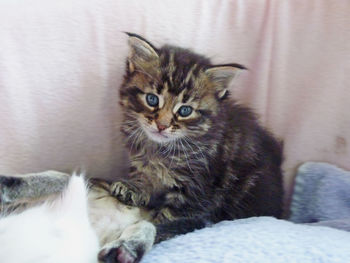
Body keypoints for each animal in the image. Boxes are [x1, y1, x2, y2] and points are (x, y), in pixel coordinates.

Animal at [110, 34, 284, 229]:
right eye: (152, 99)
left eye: (185, 110)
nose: (161, 125)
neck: (159, 149)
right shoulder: (145, 165)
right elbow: (145, 176)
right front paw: (134, 187)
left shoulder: (198, 189)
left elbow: (171, 215)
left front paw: (155, 226)